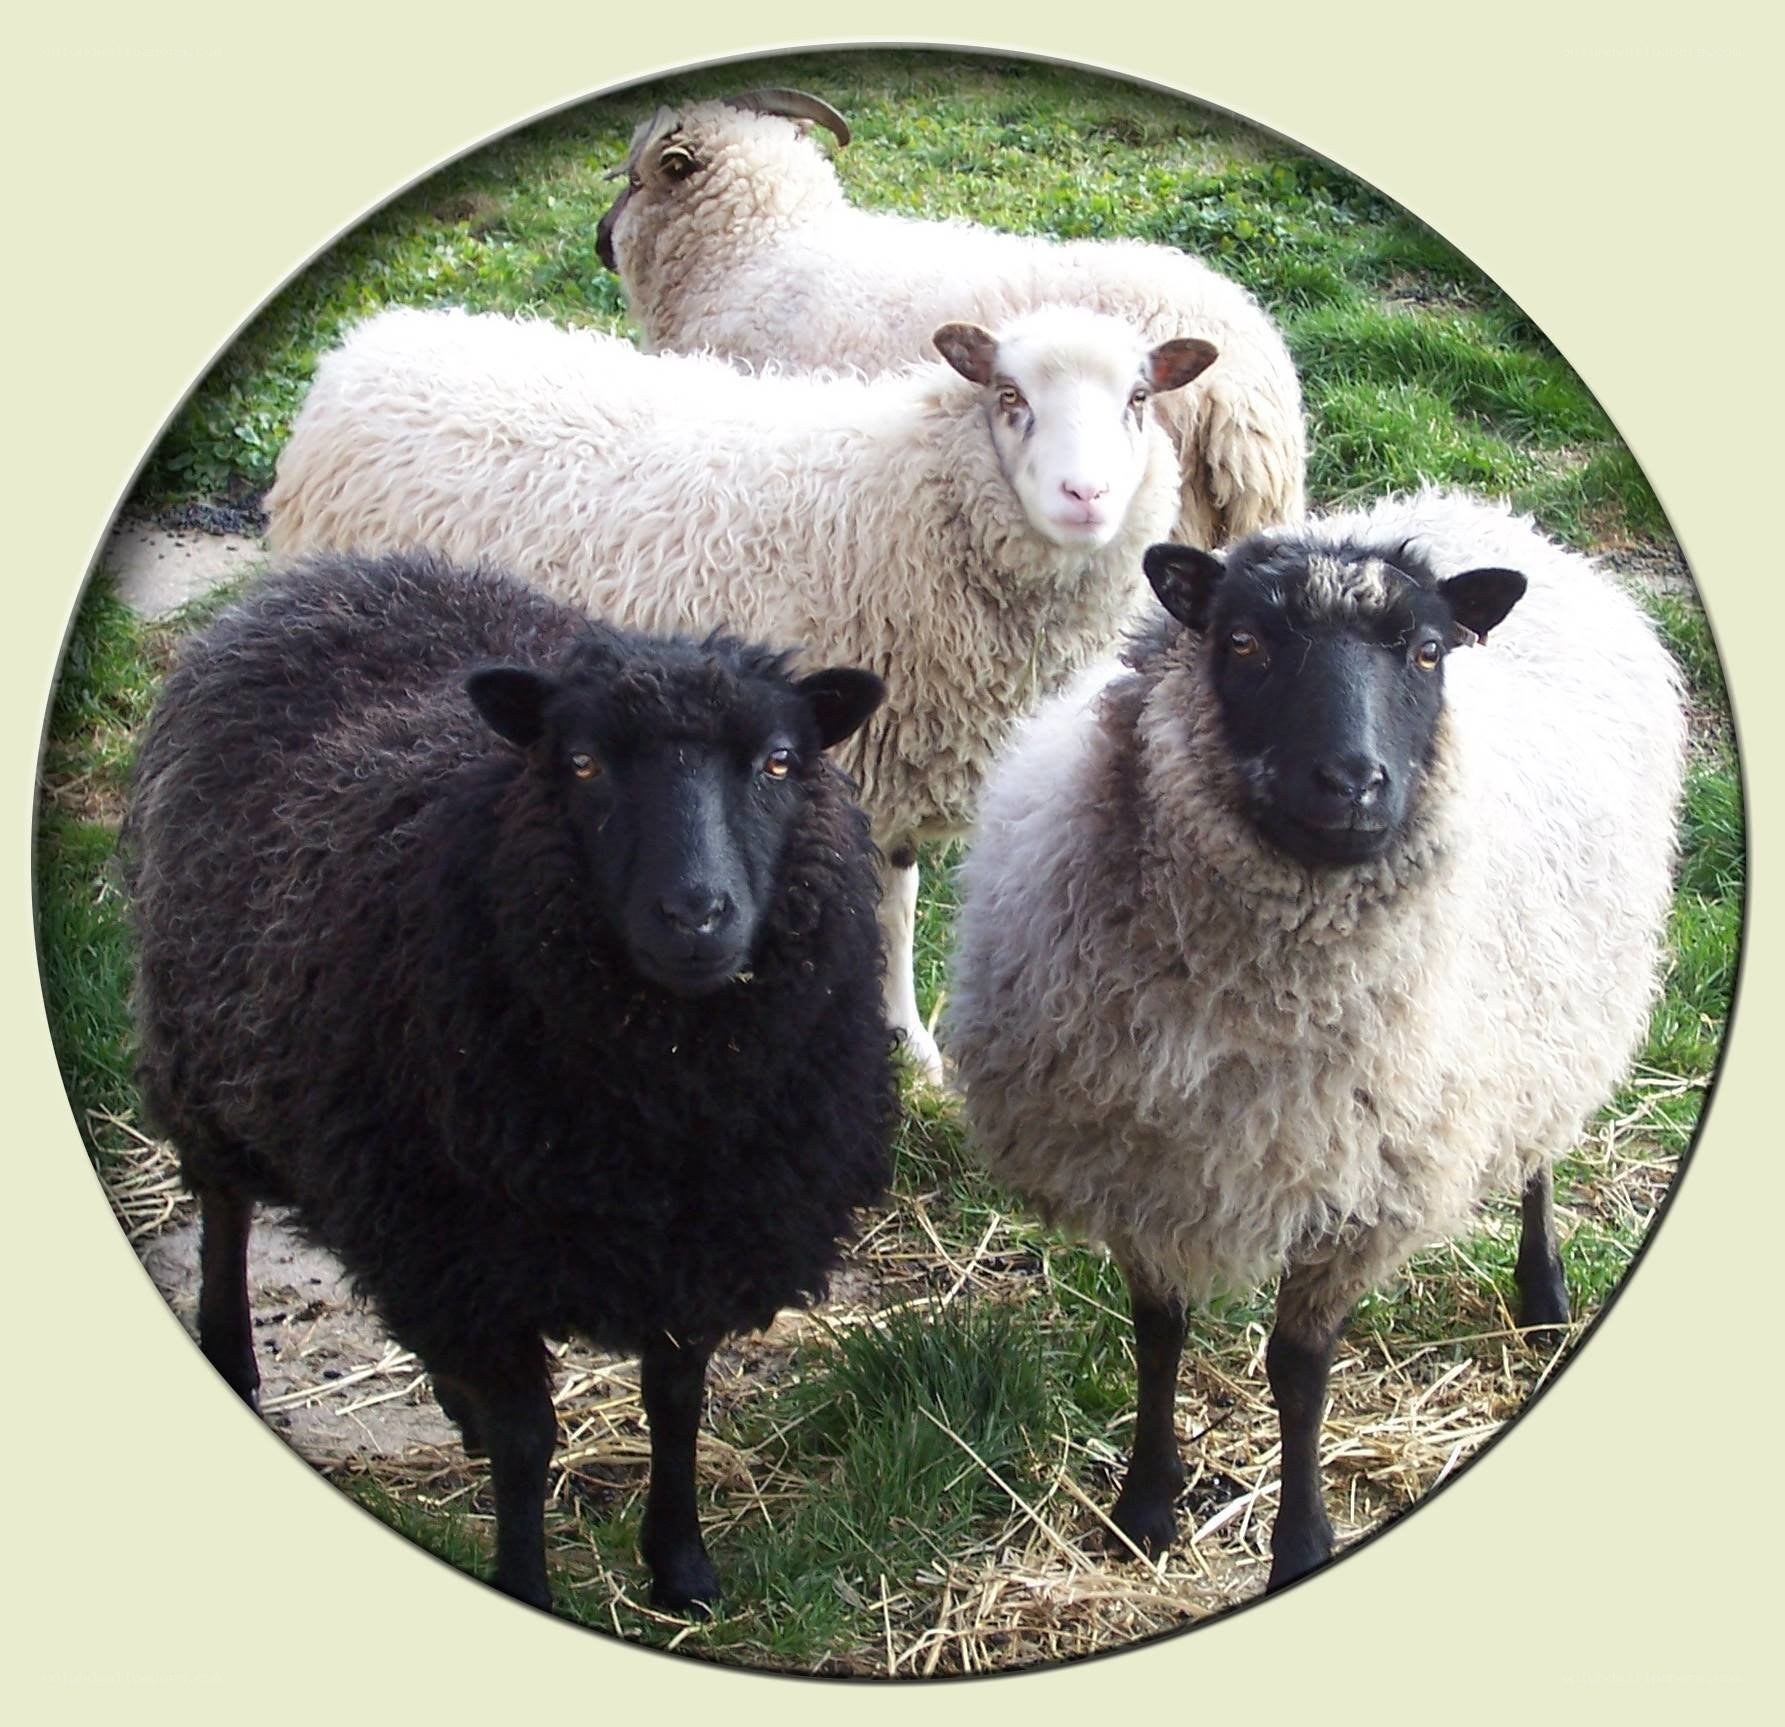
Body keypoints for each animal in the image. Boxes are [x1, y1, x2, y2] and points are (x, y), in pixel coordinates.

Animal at [122, 549, 896, 1614]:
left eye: (779, 761)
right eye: (582, 763)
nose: (694, 914)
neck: (669, 1102)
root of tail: (336, 572)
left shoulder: (701, 1235)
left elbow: (676, 1396)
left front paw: (681, 1564)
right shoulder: (464, 1236)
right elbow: (531, 1440)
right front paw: (525, 1578)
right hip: (205, 1041)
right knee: (225, 1208)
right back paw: (233, 1358)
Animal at [265, 301, 1219, 1082]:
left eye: (1138, 398)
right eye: (1009, 395)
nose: (1084, 494)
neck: (901, 506)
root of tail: (367, 344)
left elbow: (898, 907)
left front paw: (911, 1043)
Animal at [943, 489, 1686, 1592]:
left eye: (1427, 652)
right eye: (1244, 641)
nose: (1352, 780)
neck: (1256, 1003)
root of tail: (1472, 507)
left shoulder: (1359, 1190)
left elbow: (1298, 1372)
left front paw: (1300, 1543)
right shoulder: (1138, 1161)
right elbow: (1157, 1335)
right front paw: (1145, 1503)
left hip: (1553, 1018)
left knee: (1539, 1149)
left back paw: (1544, 1291)